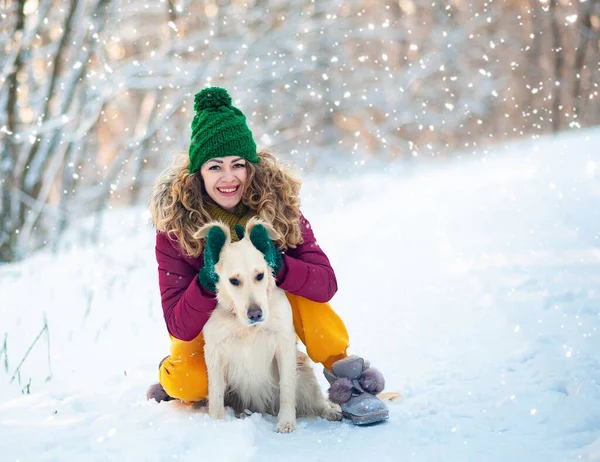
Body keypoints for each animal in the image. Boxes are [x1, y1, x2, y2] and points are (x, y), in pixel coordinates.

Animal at [195, 218, 340, 432]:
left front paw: (286, 423)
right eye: (234, 280)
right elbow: (215, 393)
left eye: (260, 275)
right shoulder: (215, 351)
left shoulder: (283, 343)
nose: (255, 314)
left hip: (304, 377)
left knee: (317, 400)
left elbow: (287, 389)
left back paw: (331, 411)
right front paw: (217, 423)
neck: (246, 326)